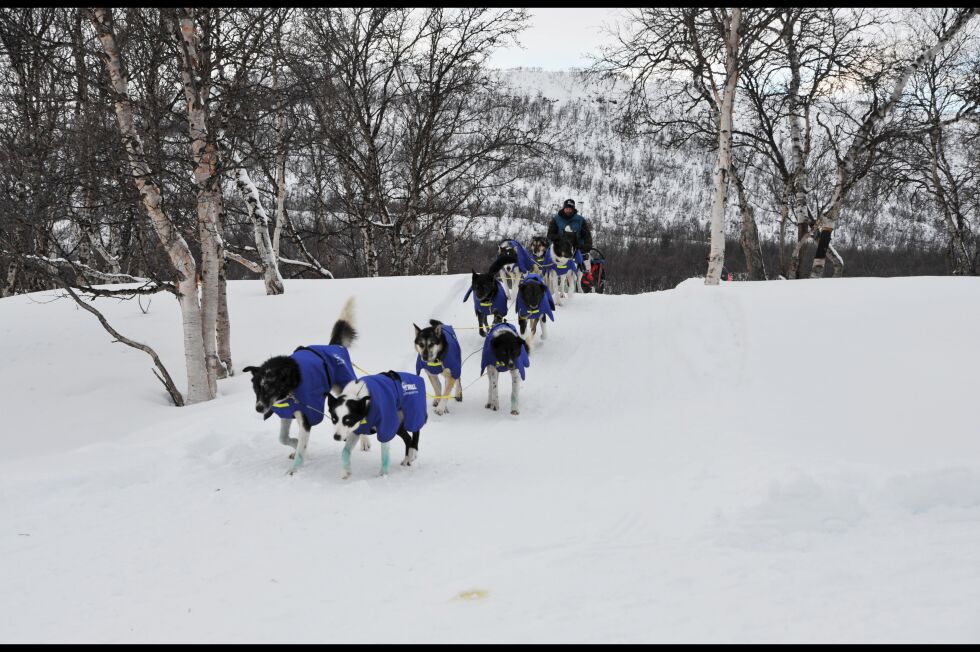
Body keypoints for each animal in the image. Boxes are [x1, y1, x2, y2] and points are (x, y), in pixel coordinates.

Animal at [243, 296, 366, 474]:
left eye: (270, 388)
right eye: (256, 390)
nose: (259, 408)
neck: (290, 390)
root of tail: (333, 346)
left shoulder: (305, 418)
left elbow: (301, 446)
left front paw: (294, 470)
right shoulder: (287, 414)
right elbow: (283, 438)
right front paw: (294, 446)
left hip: (343, 388)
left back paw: (364, 441)